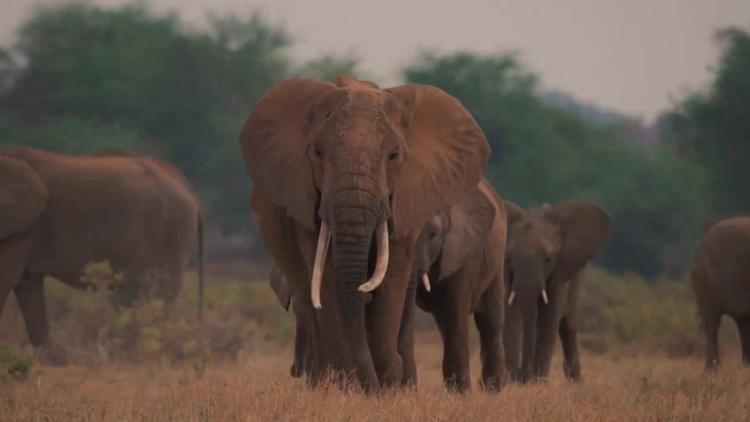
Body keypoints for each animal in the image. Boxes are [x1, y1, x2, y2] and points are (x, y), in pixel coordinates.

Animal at [0, 145, 204, 362]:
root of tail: (189, 189)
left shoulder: (25, 227)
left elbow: (7, 276)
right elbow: (26, 284)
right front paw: (51, 360)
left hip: (170, 231)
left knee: (149, 293)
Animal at [238, 74, 490, 390]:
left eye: (394, 155)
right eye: (317, 153)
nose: (371, 385)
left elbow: (392, 275)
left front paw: (386, 384)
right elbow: (326, 278)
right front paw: (347, 385)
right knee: (306, 295)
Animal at [412, 178, 512, 392]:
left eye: (433, 234)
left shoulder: (464, 251)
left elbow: (455, 311)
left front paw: (461, 394)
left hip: (496, 262)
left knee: (489, 321)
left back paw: (493, 389)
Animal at [502, 200, 612, 382]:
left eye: (548, 259)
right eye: (509, 258)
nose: (520, 374)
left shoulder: (561, 272)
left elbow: (549, 318)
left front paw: (537, 382)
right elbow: (511, 313)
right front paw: (511, 379)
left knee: (568, 325)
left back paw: (576, 383)